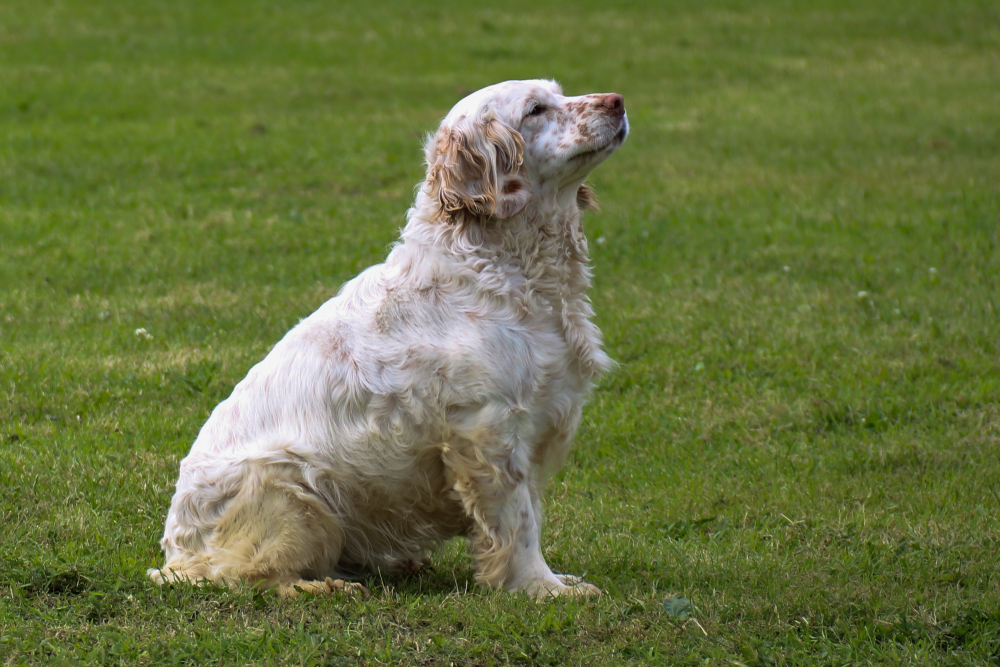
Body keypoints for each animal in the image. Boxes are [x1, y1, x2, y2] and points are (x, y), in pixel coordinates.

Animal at [148, 78, 624, 600]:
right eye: (536, 109)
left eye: (560, 92)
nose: (617, 101)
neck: (506, 264)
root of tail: (176, 552)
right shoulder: (491, 428)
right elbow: (518, 524)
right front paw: (541, 587)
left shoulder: (536, 418)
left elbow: (530, 513)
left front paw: (553, 579)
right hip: (293, 490)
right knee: (252, 576)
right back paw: (329, 586)